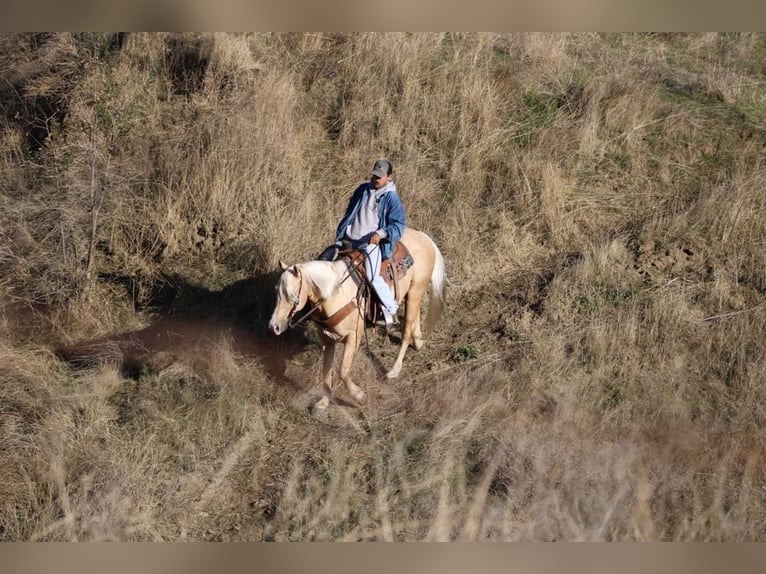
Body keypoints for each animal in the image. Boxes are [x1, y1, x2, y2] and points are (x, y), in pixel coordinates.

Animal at [268, 227, 446, 411]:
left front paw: (360, 396)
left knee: (406, 331)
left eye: (292, 296)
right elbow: (327, 369)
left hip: (416, 290)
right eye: (276, 291)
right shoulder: (326, 339)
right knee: (415, 317)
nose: (274, 326)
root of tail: (424, 238)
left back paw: (394, 371)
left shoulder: (353, 336)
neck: (336, 294)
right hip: (412, 294)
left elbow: (342, 371)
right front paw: (323, 402)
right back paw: (418, 341)